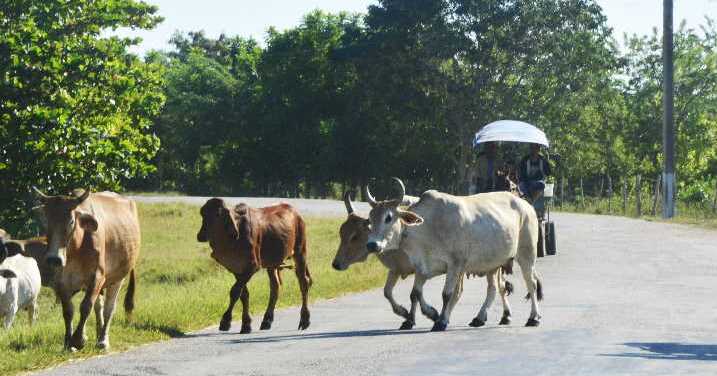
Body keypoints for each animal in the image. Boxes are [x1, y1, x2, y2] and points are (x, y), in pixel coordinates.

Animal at [33, 187, 140, 350]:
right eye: (46, 221)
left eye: (71, 221)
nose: (53, 259)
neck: (76, 249)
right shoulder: (61, 281)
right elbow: (68, 311)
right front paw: (68, 342)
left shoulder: (97, 276)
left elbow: (85, 306)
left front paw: (77, 339)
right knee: (99, 306)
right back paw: (96, 333)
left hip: (118, 278)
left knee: (109, 308)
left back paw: (103, 339)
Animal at [196, 198, 310, 334]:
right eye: (202, 213)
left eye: (218, 214)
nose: (201, 235)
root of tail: (295, 212)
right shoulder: (236, 269)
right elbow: (244, 294)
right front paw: (246, 324)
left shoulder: (252, 266)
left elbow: (235, 291)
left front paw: (225, 321)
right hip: (272, 264)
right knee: (275, 286)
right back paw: (267, 320)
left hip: (300, 252)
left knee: (303, 283)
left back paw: (304, 320)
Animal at [330, 192, 516, 330]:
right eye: (341, 233)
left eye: (355, 236)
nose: (336, 264)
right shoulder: (398, 269)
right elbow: (393, 293)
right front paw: (409, 316)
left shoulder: (444, 268)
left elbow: (426, 295)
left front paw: (429, 316)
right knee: (494, 288)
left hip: (494, 265)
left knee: (497, 288)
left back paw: (499, 316)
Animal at [364, 178, 544, 330]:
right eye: (370, 219)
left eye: (388, 217)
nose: (372, 244)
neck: (428, 227)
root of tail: (525, 204)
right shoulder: (421, 267)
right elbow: (415, 293)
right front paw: (428, 314)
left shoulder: (455, 265)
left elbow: (447, 294)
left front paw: (440, 321)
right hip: (493, 264)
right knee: (494, 288)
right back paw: (479, 318)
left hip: (527, 255)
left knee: (532, 284)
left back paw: (533, 318)